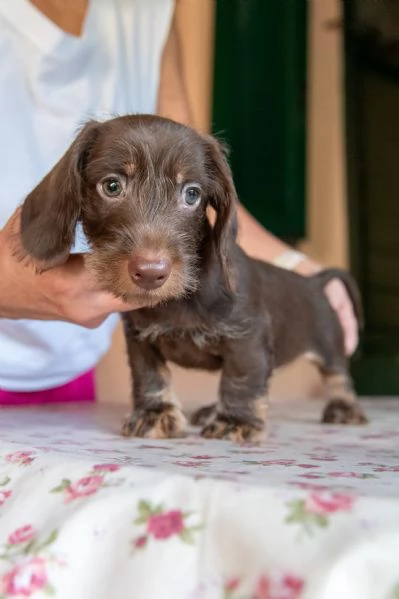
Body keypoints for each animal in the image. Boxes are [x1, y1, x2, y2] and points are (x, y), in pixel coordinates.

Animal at [19, 115, 368, 442]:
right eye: (112, 186)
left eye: (191, 194)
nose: (151, 272)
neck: (179, 299)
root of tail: (315, 282)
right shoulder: (140, 339)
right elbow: (150, 376)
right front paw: (155, 413)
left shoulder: (248, 337)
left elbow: (241, 377)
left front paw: (236, 420)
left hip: (329, 343)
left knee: (338, 375)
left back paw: (344, 407)